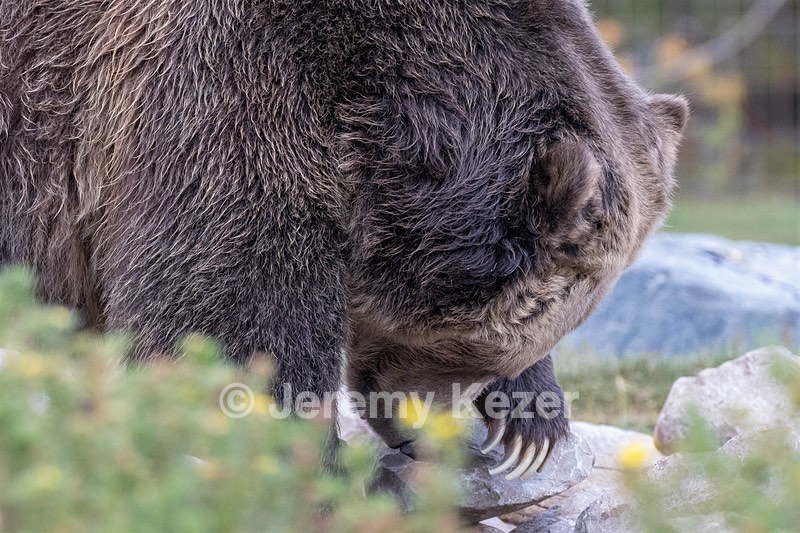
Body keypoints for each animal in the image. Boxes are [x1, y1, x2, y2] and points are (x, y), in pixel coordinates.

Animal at [0, 0, 687, 478]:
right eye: (464, 349)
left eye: (495, 358)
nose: (429, 438)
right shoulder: (223, 94)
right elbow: (230, 320)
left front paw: (529, 429)